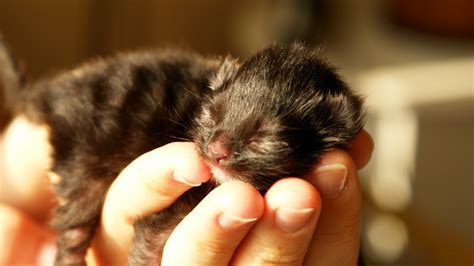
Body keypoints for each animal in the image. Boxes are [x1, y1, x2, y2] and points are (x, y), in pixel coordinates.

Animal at [0, 40, 364, 264]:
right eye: (211, 115)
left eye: (264, 138)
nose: (216, 151)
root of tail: (52, 96)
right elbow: (149, 242)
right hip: (83, 163)